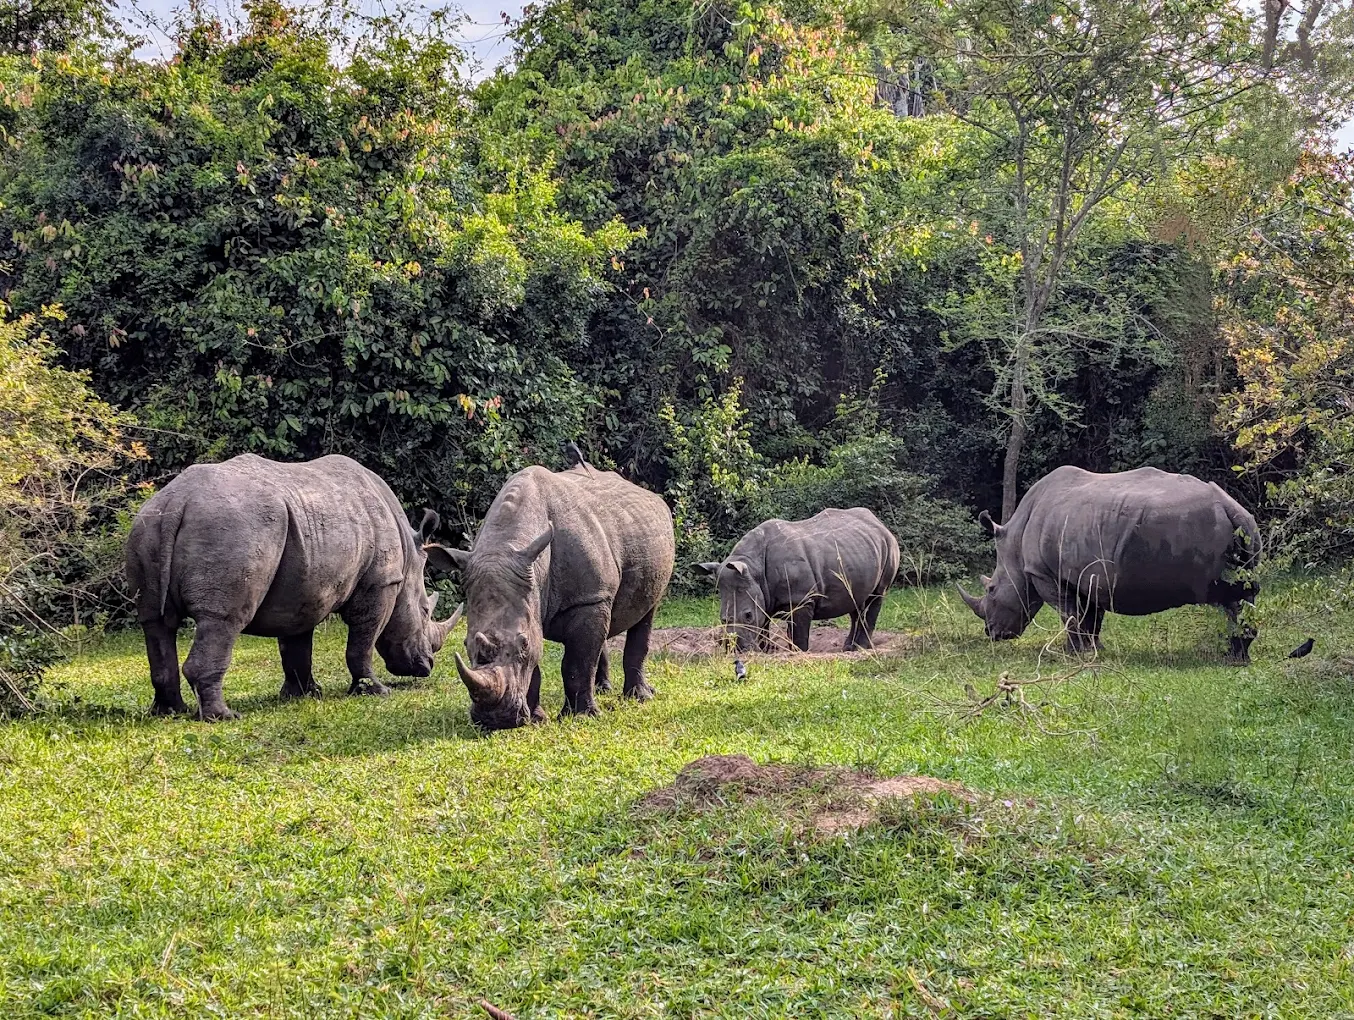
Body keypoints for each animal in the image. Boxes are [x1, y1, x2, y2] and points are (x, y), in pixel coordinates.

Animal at [125, 453, 463, 721]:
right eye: (425, 611)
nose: (426, 666)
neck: (407, 554)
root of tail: (177, 501)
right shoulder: (381, 584)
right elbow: (362, 644)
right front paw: (375, 691)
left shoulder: (305, 588)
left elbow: (296, 644)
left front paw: (304, 694)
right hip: (232, 528)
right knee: (222, 621)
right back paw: (224, 717)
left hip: (147, 526)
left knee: (155, 623)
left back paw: (170, 712)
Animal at [426, 461, 675, 731]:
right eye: (465, 644)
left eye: (523, 643)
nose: (495, 720)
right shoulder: (534, 596)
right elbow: (537, 666)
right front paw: (536, 719)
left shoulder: (587, 598)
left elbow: (576, 661)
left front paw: (581, 717)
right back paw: (604, 690)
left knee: (646, 613)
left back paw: (640, 696)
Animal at [697, 508, 900, 652]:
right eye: (722, 619)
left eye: (747, 615)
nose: (736, 649)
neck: (753, 567)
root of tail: (880, 523)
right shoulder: (763, 595)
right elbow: (764, 627)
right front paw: (765, 651)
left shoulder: (801, 599)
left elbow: (799, 635)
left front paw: (798, 653)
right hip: (860, 550)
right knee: (856, 603)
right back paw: (848, 648)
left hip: (889, 545)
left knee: (876, 596)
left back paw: (861, 648)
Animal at [957, 466, 1262, 661]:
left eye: (991, 590)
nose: (991, 633)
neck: (1015, 546)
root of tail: (1230, 506)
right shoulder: (1088, 576)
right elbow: (1091, 617)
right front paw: (1095, 651)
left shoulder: (1047, 575)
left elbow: (1070, 615)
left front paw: (1073, 655)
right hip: (1248, 526)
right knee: (1243, 597)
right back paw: (1235, 656)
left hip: (1205, 524)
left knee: (1231, 598)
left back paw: (1232, 659)